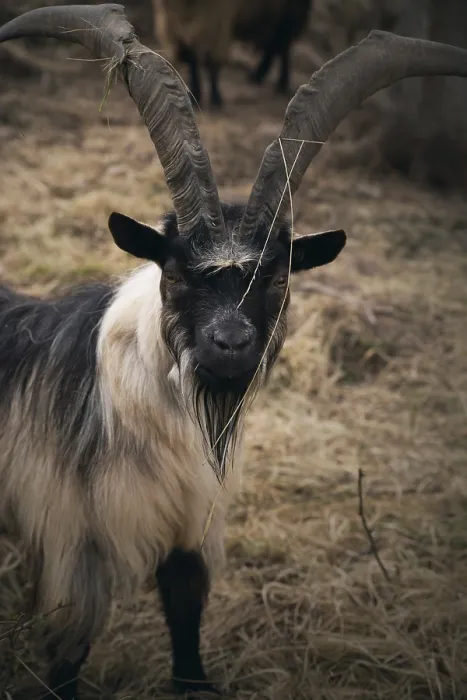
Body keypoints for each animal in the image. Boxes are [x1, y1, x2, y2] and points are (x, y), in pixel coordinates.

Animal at [153, 0, 312, 107]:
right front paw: (194, 94)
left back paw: (280, 83)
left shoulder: (219, 21)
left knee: (283, 46)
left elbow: (212, 62)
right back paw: (257, 76)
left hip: (288, 14)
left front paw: (216, 98)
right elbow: (192, 60)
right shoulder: (171, 22)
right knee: (275, 46)